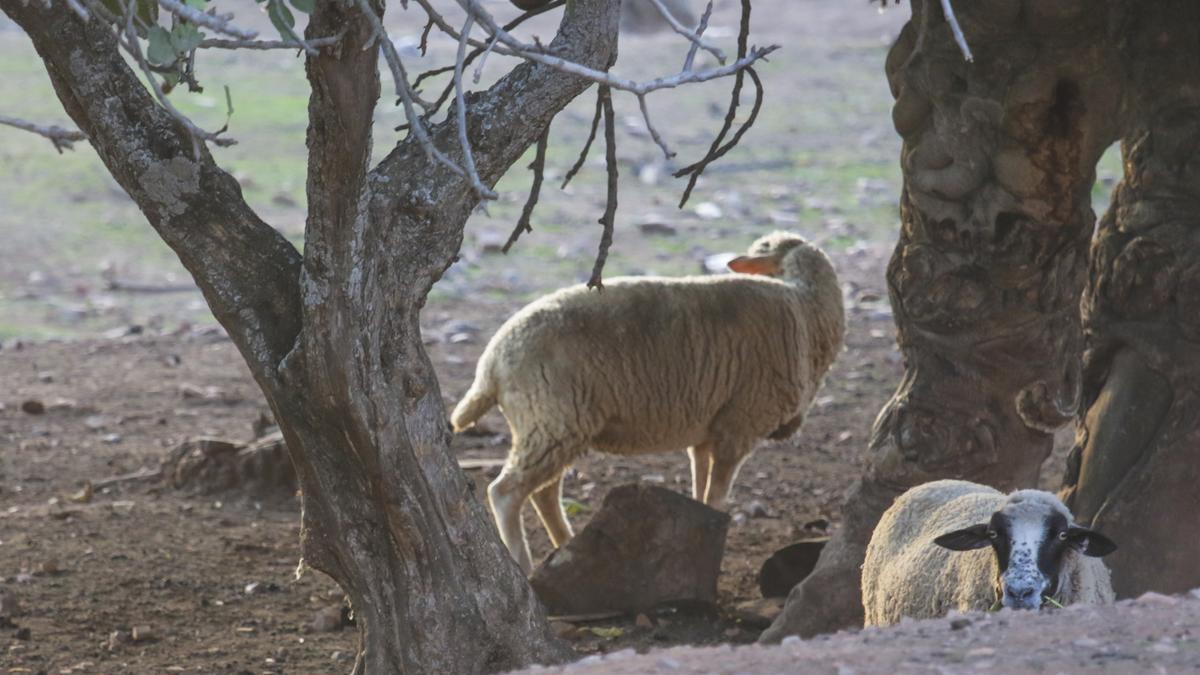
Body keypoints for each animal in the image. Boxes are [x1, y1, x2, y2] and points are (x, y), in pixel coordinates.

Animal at [451, 229, 844, 566]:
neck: (805, 307)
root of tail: (491, 362)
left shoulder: (709, 425)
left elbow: (701, 488)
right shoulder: (740, 422)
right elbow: (718, 496)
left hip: (554, 425)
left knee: (543, 493)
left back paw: (566, 545)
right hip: (552, 420)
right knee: (506, 493)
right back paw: (521, 560)